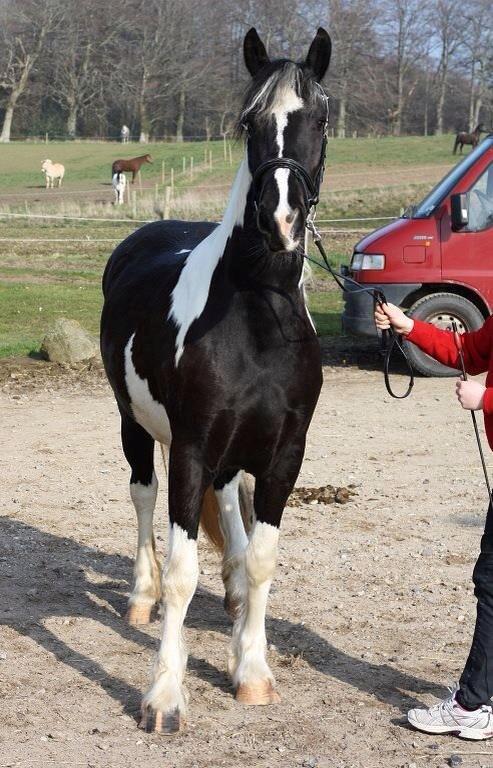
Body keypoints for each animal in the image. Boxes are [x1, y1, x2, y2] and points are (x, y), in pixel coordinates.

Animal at [100, 27, 330, 736]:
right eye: (248, 123)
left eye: (321, 118)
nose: (280, 220)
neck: (257, 316)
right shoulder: (192, 449)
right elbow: (181, 572)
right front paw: (163, 697)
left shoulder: (284, 455)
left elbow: (260, 557)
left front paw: (251, 670)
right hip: (135, 426)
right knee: (143, 498)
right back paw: (139, 597)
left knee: (229, 511)